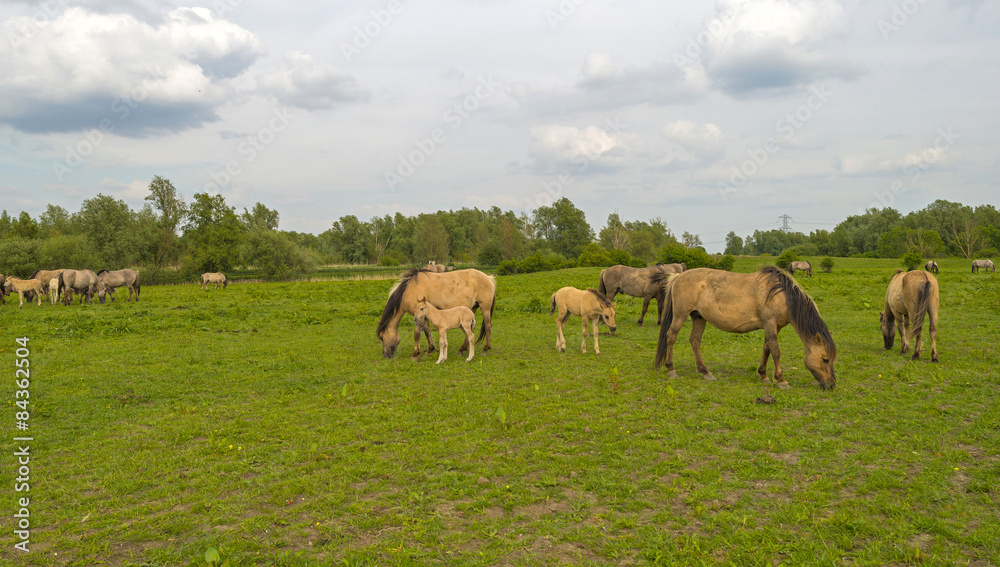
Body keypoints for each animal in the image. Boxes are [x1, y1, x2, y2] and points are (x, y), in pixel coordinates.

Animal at [656, 268, 836, 390]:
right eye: (825, 359)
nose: (831, 385)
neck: (780, 294)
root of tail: (677, 277)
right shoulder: (770, 324)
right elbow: (776, 351)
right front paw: (781, 380)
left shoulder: (773, 327)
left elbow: (766, 349)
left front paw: (763, 375)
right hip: (680, 315)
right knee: (671, 336)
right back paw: (671, 369)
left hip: (699, 317)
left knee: (695, 341)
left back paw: (705, 372)